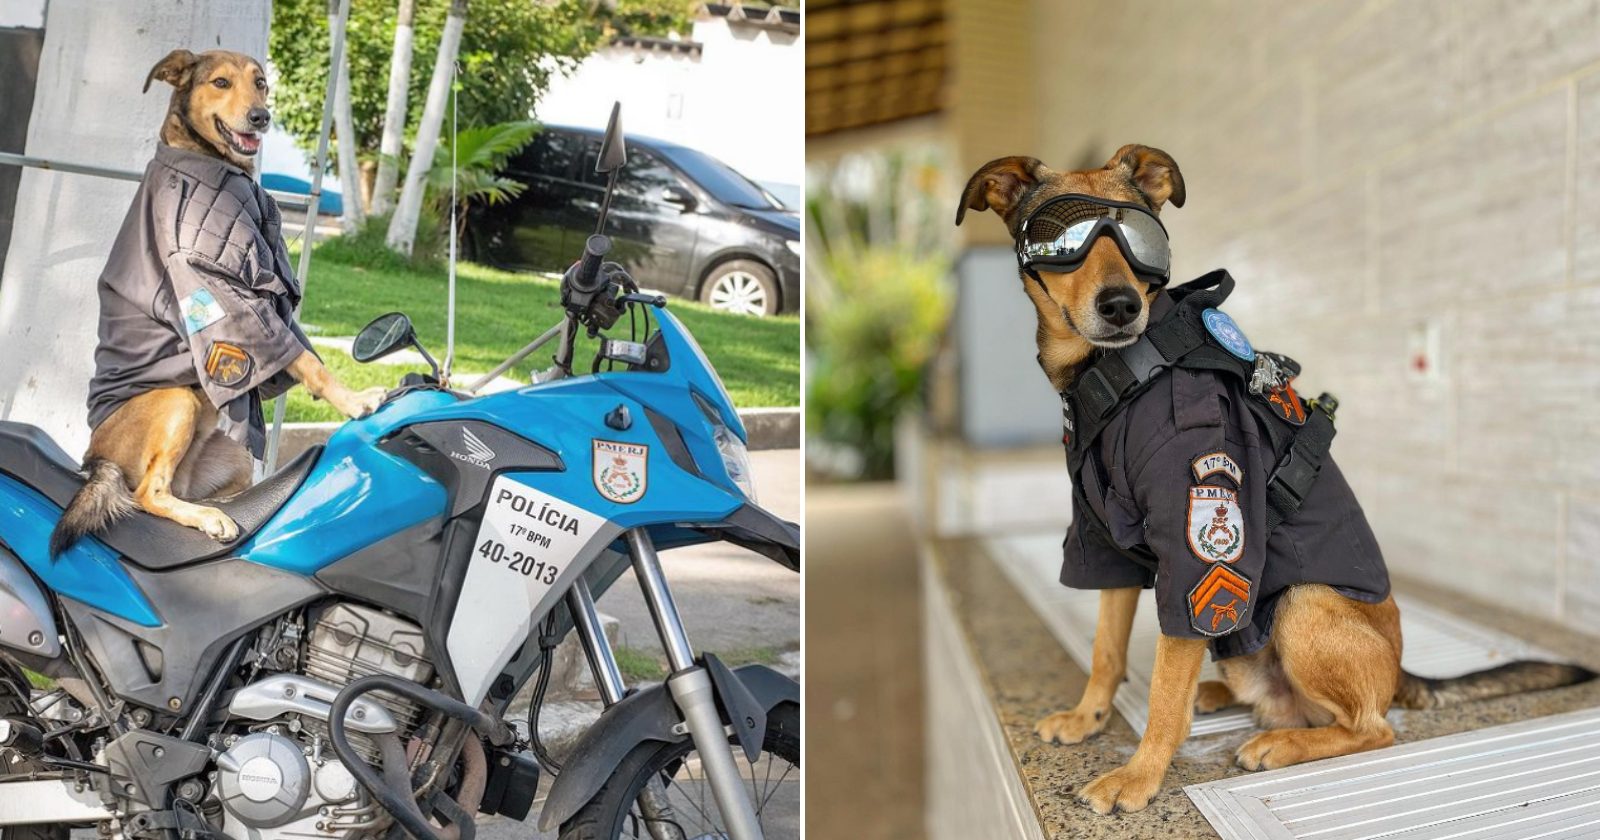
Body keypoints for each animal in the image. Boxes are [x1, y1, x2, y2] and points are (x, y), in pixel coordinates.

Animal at [51, 50, 382, 550]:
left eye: (261, 83)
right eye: (221, 82)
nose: (261, 117)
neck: (204, 158)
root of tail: (93, 461)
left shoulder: (269, 297)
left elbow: (303, 351)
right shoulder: (227, 290)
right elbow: (307, 361)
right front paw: (355, 401)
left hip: (233, 457)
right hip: (178, 401)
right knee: (148, 494)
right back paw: (209, 518)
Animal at [953, 147, 1593, 816]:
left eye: (1141, 239)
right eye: (1062, 238)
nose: (1122, 305)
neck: (1116, 376)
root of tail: (1400, 670)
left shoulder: (1197, 553)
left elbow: (1162, 690)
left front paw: (1140, 774)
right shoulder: (1102, 543)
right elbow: (1107, 648)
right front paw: (1088, 716)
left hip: (1301, 603)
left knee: (1370, 728)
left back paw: (1278, 743)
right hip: (1247, 638)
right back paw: (1220, 696)